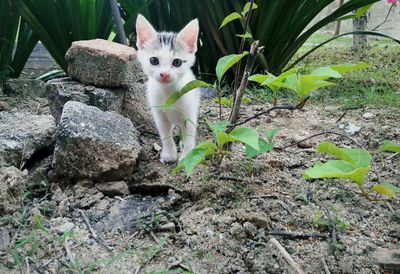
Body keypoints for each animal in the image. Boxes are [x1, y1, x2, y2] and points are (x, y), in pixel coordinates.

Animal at [136, 14, 200, 163]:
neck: (169, 93)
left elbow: (189, 136)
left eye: (177, 62)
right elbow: (165, 135)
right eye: (154, 60)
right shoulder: (159, 114)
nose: (164, 74)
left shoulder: (189, 113)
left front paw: (187, 156)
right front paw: (170, 154)